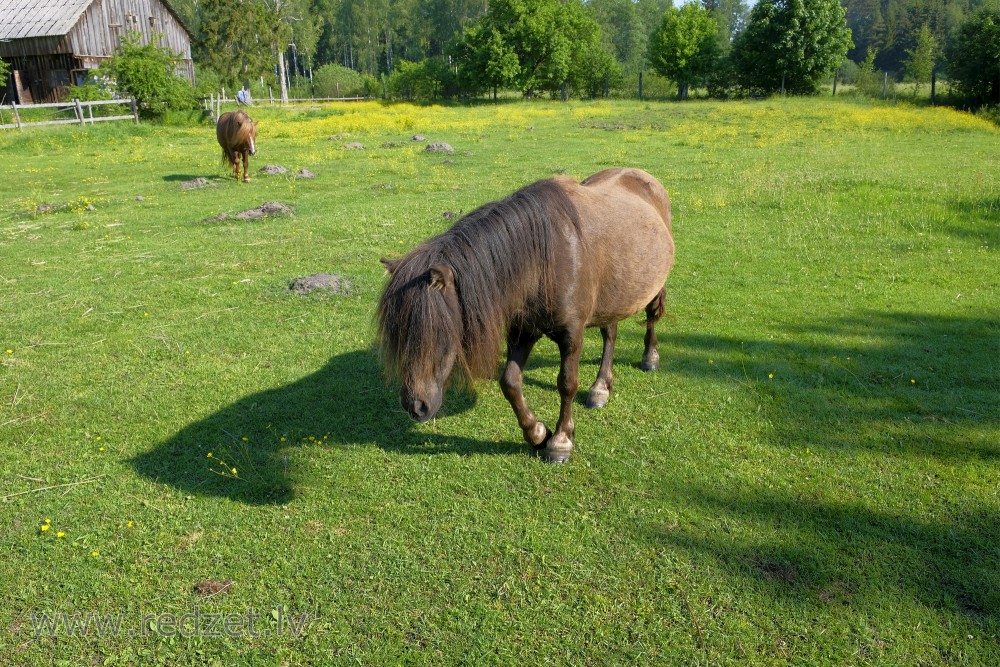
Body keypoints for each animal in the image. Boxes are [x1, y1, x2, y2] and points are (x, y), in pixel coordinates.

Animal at [378, 167, 676, 462]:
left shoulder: (572, 334)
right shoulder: (523, 331)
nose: (415, 406)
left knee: (650, 318)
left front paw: (561, 441)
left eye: (438, 331)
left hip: (652, 285)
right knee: (610, 333)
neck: (546, 260)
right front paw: (537, 433)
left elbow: (567, 383)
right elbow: (510, 382)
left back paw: (649, 358)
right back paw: (600, 387)